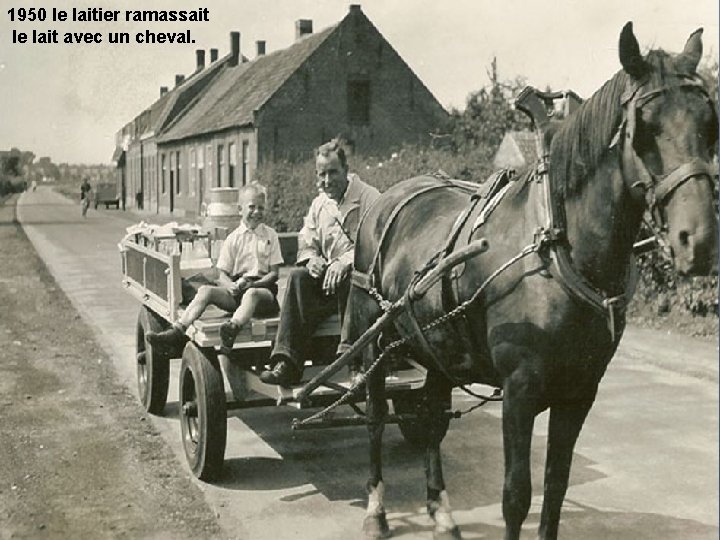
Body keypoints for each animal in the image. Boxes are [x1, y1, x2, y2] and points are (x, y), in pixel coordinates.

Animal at [344, 23, 720, 536]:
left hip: (436, 348)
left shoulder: (580, 392)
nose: (697, 240)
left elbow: (555, 488)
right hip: (376, 345)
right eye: (644, 129)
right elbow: (517, 497)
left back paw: (441, 510)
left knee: (432, 418)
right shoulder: (519, 393)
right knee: (376, 420)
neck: (559, 249)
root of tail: (387, 199)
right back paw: (376, 510)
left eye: (709, 123)